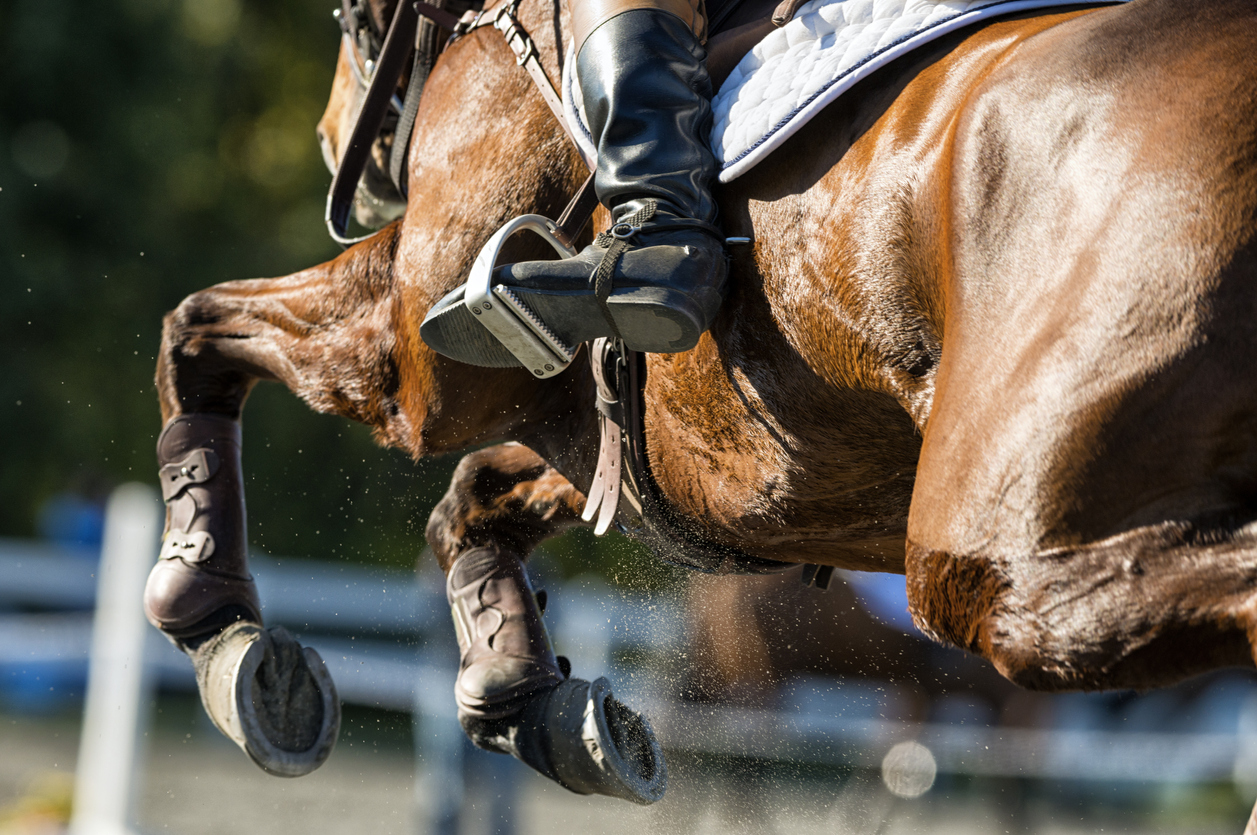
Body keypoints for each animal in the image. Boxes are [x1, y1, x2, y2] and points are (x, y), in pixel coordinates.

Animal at [149, 0, 1257, 819]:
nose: (334, 135)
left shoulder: (410, 362)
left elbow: (196, 328)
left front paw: (212, 618)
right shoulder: (691, 463)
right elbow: (471, 502)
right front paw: (522, 695)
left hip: (998, 557)